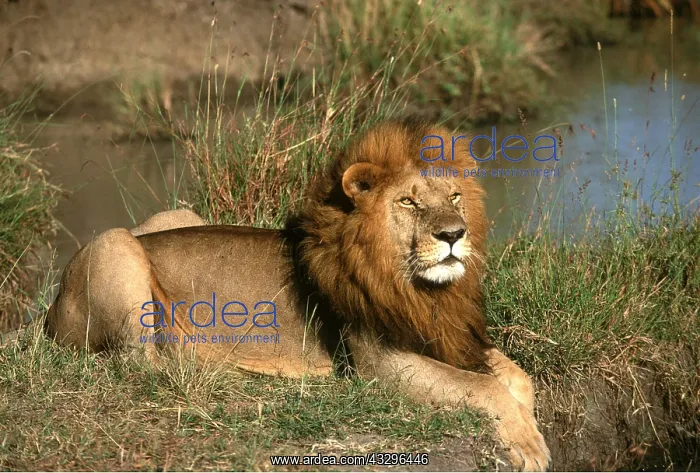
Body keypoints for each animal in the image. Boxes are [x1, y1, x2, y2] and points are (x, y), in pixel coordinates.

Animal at [45, 120, 550, 471]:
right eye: (408, 201)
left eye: (454, 197)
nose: (453, 234)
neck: (418, 288)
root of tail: (51, 306)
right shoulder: (380, 363)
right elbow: (483, 386)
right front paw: (530, 445)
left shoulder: (452, 338)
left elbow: (517, 377)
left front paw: (527, 421)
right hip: (115, 245)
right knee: (141, 362)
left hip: (174, 215)